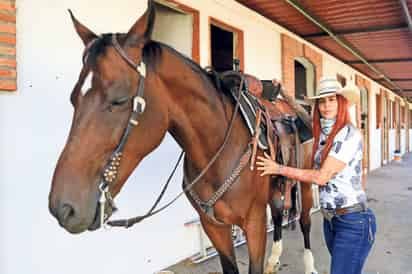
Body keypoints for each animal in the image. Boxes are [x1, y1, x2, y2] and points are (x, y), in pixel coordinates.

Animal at [49, 1, 318, 272]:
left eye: (119, 99)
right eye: (73, 98)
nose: (63, 208)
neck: (217, 151)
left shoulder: (255, 224)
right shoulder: (214, 226)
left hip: (305, 182)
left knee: (305, 221)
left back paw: (308, 263)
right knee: (279, 212)